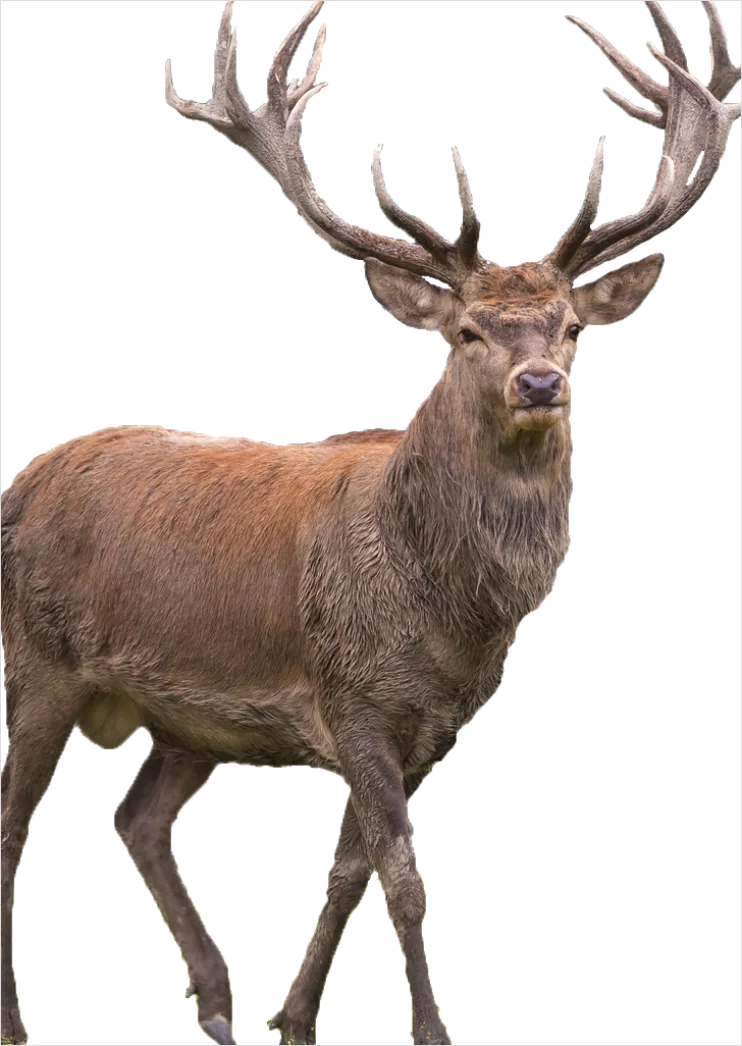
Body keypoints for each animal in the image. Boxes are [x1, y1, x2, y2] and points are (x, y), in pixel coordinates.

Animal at [2, 2, 738, 1043]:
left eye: (570, 329)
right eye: (466, 332)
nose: (539, 383)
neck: (446, 614)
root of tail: (22, 481)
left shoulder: (432, 726)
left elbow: (348, 870)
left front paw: (295, 1019)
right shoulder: (350, 697)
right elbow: (402, 875)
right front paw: (432, 1029)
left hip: (182, 720)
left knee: (137, 817)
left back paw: (218, 1005)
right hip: (39, 661)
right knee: (11, 827)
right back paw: (19, 1018)